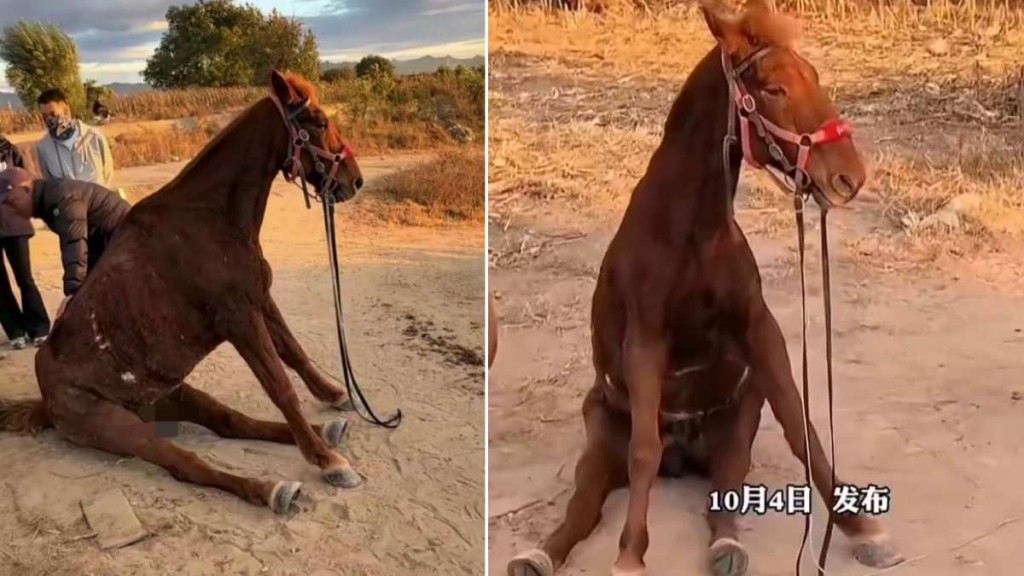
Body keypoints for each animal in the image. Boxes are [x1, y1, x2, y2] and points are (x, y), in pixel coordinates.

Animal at [0, 70, 368, 515]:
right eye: (318, 122)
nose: (354, 180)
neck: (209, 217)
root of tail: (45, 398)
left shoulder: (259, 299)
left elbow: (294, 354)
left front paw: (334, 397)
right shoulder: (239, 319)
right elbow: (280, 386)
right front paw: (327, 462)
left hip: (174, 396)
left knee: (231, 423)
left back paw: (325, 432)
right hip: (117, 428)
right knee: (186, 464)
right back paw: (275, 489)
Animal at [506, 2, 904, 575]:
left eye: (813, 75)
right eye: (775, 88)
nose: (849, 177)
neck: (693, 232)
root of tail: (684, 456)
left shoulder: (758, 326)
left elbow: (800, 425)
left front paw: (862, 528)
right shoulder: (645, 340)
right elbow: (643, 451)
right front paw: (630, 555)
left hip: (737, 422)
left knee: (725, 487)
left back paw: (728, 548)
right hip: (600, 432)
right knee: (587, 499)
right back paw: (538, 554)